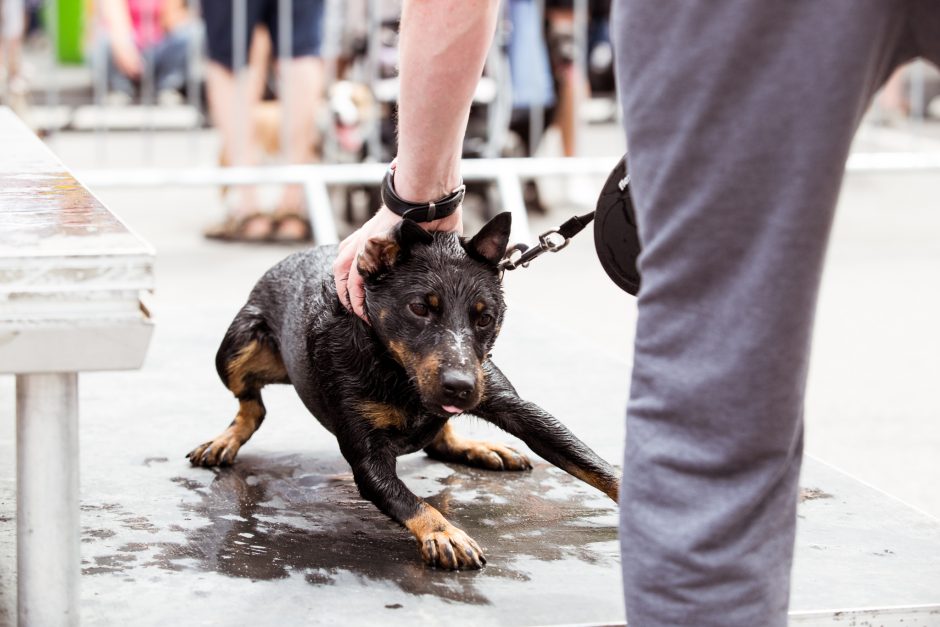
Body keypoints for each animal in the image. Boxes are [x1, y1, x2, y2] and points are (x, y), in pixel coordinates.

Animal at [187, 213, 620, 572]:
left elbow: (589, 461)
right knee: (252, 406)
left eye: (485, 317)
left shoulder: (512, 404)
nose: (460, 387)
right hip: (236, 346)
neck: (397, 371)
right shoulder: (367, 455)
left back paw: (478, 447)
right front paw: (443, 532)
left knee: (440, 437)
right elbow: (410, 500)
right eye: (419, 308)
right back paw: (225, 440)